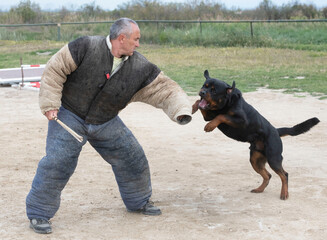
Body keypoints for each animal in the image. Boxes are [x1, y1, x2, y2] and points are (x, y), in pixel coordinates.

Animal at [193, 70, 322, 201]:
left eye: (214, 91)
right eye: (204, 86)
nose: (202, 92)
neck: (225, 104)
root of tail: (276, 131)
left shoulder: (241, 120)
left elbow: (222, 116)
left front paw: (209, 126)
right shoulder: (208, 115)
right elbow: (201, 106)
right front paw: (194, 107)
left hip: (273, 158)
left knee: (284, 175)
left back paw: (284, 194)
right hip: (255, 159)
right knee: (268, 175)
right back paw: (259, 189)